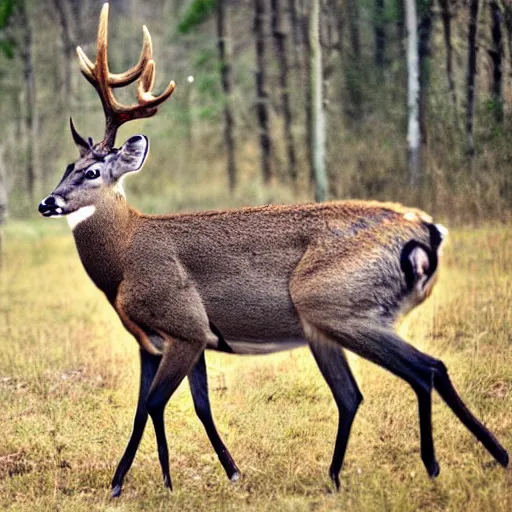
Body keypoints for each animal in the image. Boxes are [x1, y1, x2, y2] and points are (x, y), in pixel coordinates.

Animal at [37, 3, 508, 500]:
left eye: (92, 172)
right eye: (67, 166)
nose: (47, 202)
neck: (124, 261)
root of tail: (428, 230)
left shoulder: (184, 323)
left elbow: (154, 404)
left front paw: (153, 482)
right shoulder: (156, 340)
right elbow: (179, 406)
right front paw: (203, 474)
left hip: (338, 303)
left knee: (423, 369)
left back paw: (434, 465)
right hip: (329, 321)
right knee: (365, 390)